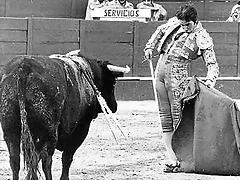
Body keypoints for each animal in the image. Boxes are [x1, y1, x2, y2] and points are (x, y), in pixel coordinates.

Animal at [0, 51, 129, 179]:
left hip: (10, 129)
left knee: (15, 160)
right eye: (113, 82)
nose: (114, 106)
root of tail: (24, 67)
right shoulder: (81, 129)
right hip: (49, 132)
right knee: (46, 160)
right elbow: (67, 157)